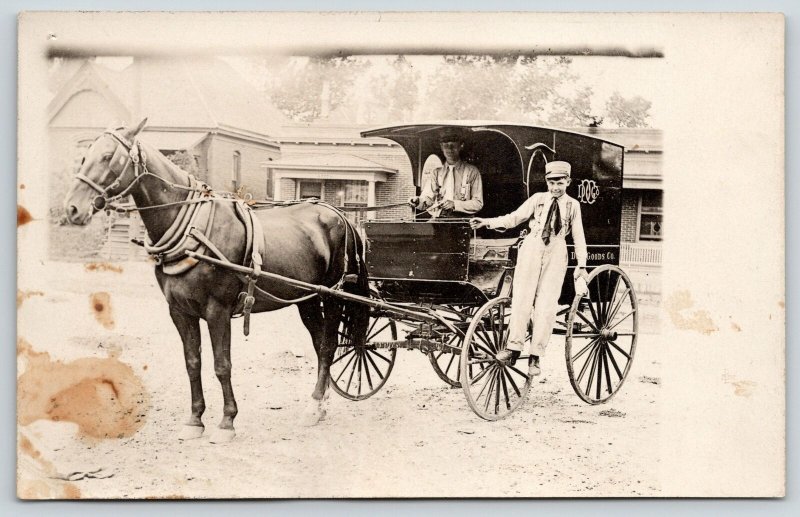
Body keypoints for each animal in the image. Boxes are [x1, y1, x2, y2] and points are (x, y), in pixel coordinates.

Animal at [61, 119, 368, 442]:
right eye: (84, 155)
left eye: (108, 156)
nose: (72, 208)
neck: (195, 230)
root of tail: (340, 216)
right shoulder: (180, 311)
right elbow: (192, 363)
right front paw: (195, 420)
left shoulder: (217, 310)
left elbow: (222, 365)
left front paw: (227, 421)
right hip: (305, 300)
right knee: (319, 344)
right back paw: (319, 405)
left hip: (331, 296)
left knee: (328, 345)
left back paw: (313, 406)